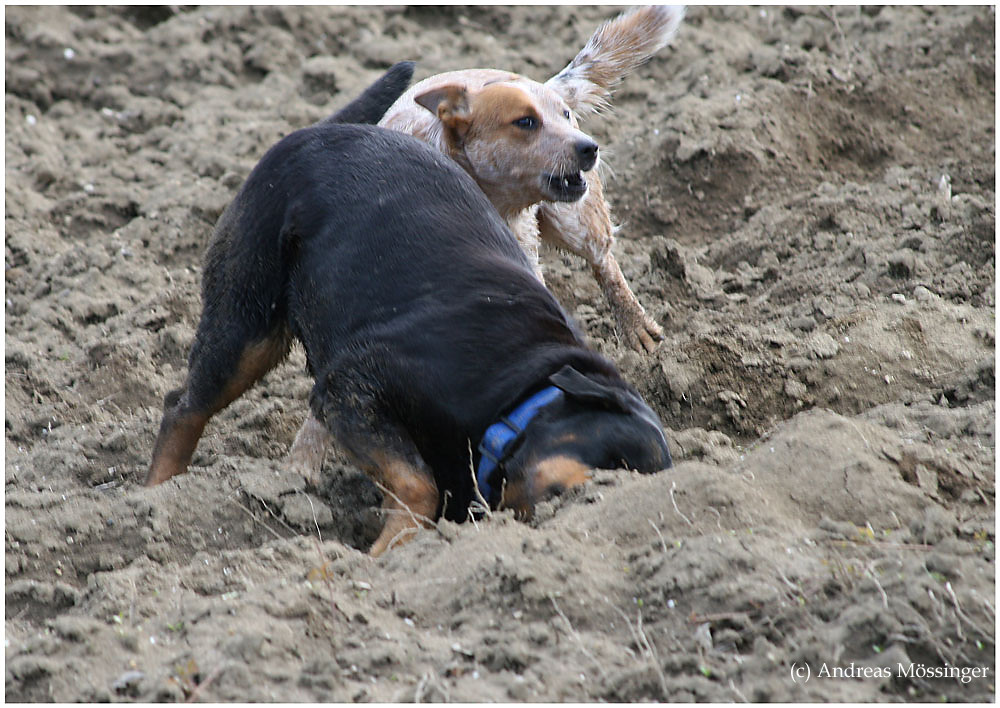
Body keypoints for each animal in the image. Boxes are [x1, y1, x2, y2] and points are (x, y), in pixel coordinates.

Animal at [146, 63, 672, 556]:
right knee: (184, 406)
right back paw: (155, 498)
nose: (598, 508)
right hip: (248, 317)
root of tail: (321, 130)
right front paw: (386, 551)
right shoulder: (349, 389)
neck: (522, 389)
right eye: (615, 460)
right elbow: (419, 484)